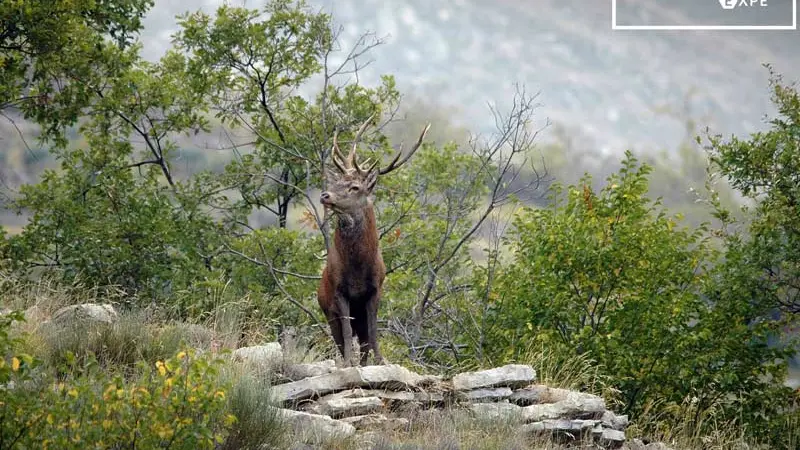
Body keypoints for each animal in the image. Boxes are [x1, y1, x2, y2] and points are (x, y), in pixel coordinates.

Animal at [317, 115, 430, 367]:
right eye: (336, 182)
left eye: (355, 187)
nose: (325, 195)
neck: (357, 268)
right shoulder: (339, 292)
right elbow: (347, 333)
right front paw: (348, 363)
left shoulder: (375, 289)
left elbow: (373, 331)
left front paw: (380, 361)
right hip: (327, 311)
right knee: (342, 337)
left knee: (364, 339)